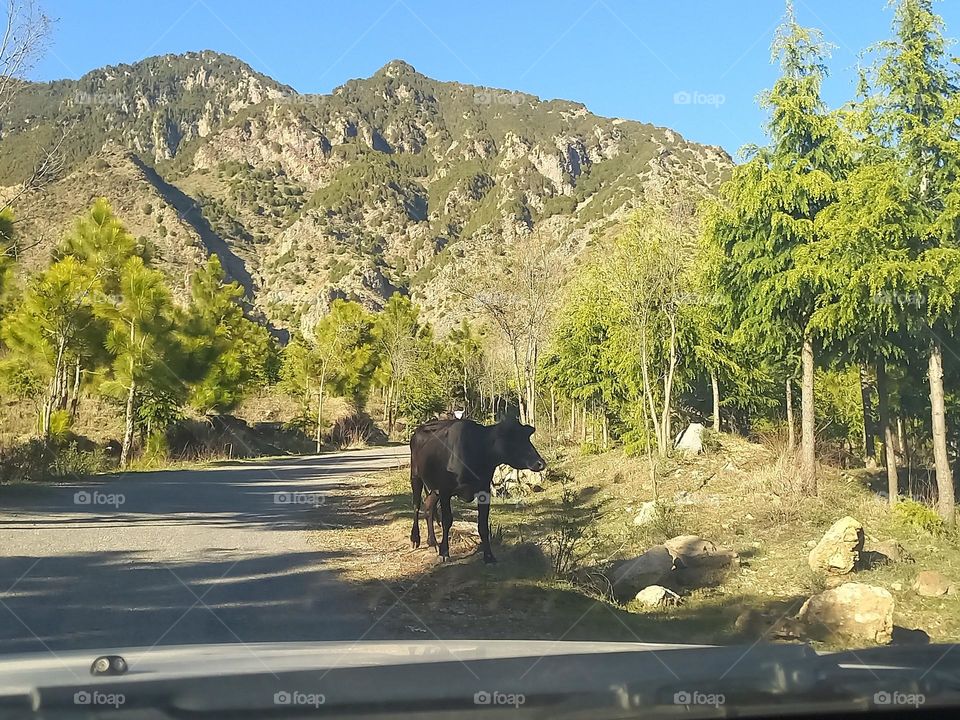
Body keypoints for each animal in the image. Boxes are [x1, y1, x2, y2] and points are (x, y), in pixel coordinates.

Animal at [409, 416, 546, 563]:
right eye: (514, 439)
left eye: (527, 438)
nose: (540, 463)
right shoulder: (445, 490)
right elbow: (447, 521)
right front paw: (444, 552)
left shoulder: (484, 491)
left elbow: (483, 525)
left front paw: (489, 556)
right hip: (416, 475)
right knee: (416, 505)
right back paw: (415, 538)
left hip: (435, 489)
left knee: (428, 504)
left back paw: (432, 542)